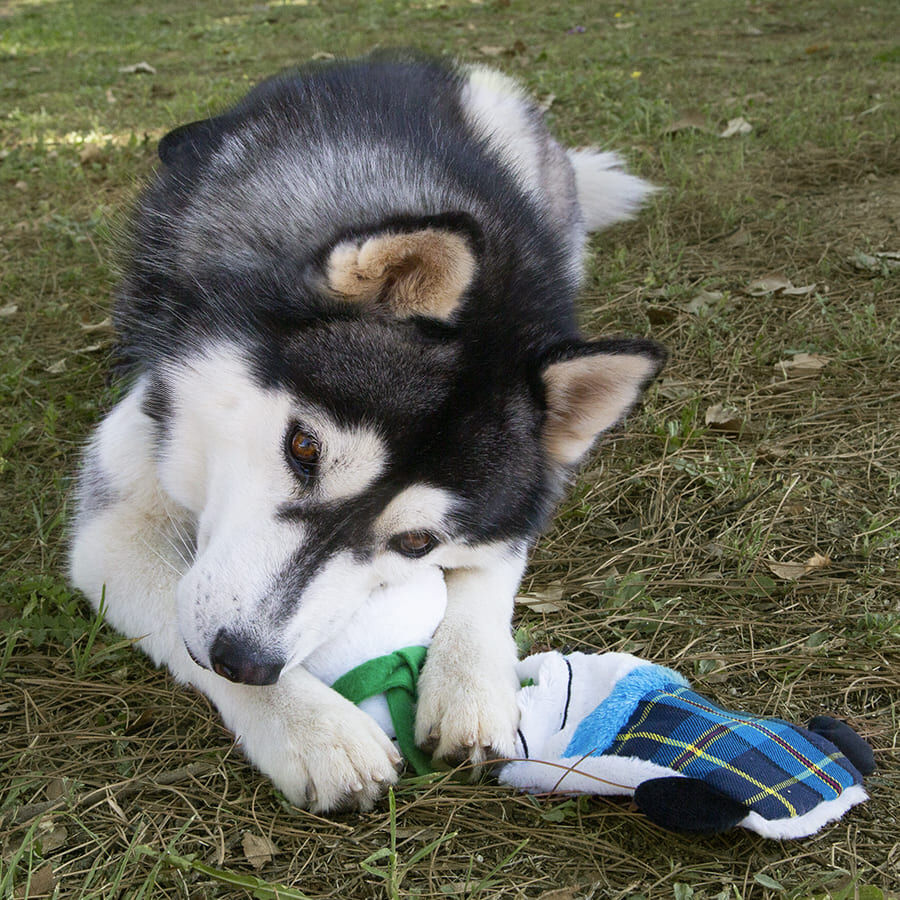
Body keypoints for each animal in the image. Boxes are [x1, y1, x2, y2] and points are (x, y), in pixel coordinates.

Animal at [70, 56, 664, 816]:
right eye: (304, 448)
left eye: (415, 543)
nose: (244, 661)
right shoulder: (119, 509)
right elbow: (173, 606)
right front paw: (313, 730)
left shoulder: (517, 508)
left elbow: (489, 572)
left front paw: (472, 686)